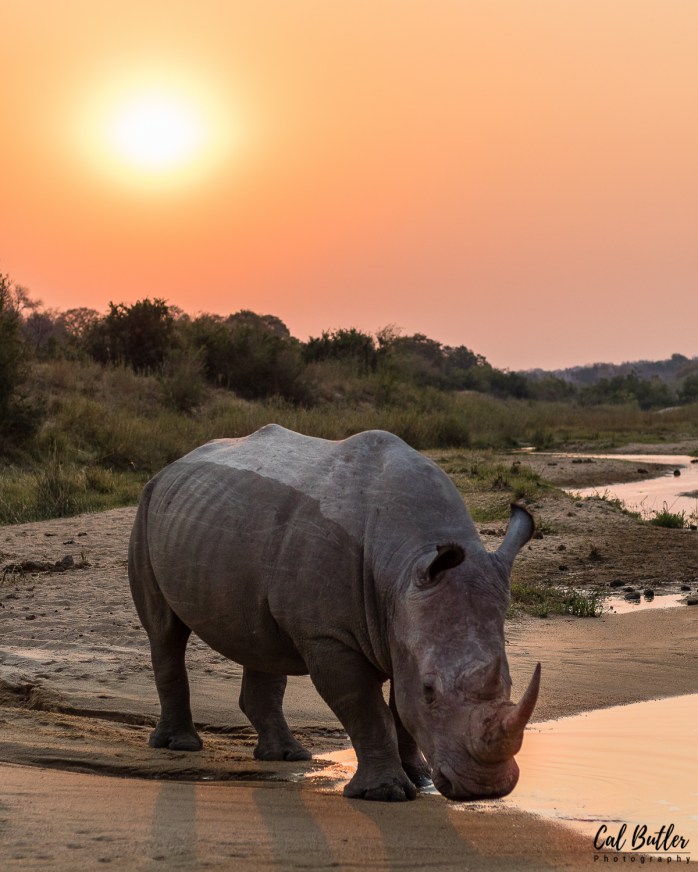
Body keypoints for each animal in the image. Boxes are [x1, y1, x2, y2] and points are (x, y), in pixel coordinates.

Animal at [128, 424, 540, 802]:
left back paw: (286, 756)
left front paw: (420, 781)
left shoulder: (404, 628)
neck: (405, 565)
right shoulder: (328, 634)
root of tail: (175, 464)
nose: (485, 789)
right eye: (430, 691)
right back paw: (181, 746)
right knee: (164, 631)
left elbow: (401, 709)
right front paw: (385, 793)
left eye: (509, 683)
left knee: (259, 638)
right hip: (147, 509)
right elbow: (365, 706)